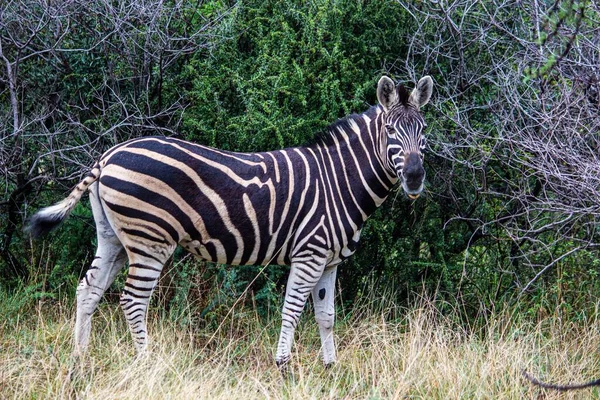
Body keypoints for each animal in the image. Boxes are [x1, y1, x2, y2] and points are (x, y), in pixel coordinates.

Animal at [27, 73, 432, 368]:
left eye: (424, 132)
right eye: (391, 131)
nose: (414, 178)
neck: (339, 181)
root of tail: (108, 155)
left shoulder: (330, 261)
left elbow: (326, 315)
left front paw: (330, 368)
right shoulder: (309, 253)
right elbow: (292, 310)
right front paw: (283, 365)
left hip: (114, 237)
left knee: (89, 289)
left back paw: (80, 358)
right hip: (149, 239)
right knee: (132, 300)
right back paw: (146, 363)